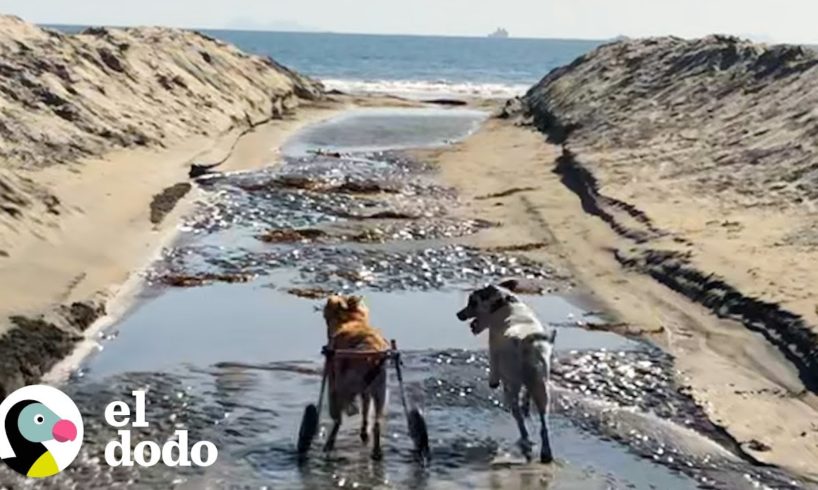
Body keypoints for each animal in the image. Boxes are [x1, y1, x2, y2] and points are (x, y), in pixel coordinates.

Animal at [322, 294, 388, 460]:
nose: (335, 293)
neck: (351, 321)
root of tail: (369, 353)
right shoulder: (366, 392)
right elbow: (365, 411)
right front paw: (364, 432)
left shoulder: (333, 382)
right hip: (380, 392)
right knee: (376, 423)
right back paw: (376, 451)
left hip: (342, 388)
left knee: (338, 420)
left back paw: (329, 445)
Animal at [452, 282, 556, 462]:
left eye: (472, 302)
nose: (459, 314)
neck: (506, 305)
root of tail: (524, 342)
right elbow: (527, 397)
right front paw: (526, 404)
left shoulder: (493, 347)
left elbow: (493, 369)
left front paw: (493, 383)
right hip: (541, 387)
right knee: (544, 425)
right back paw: (545, 452)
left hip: (513, 384)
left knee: (518, 416)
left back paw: (524, 438)